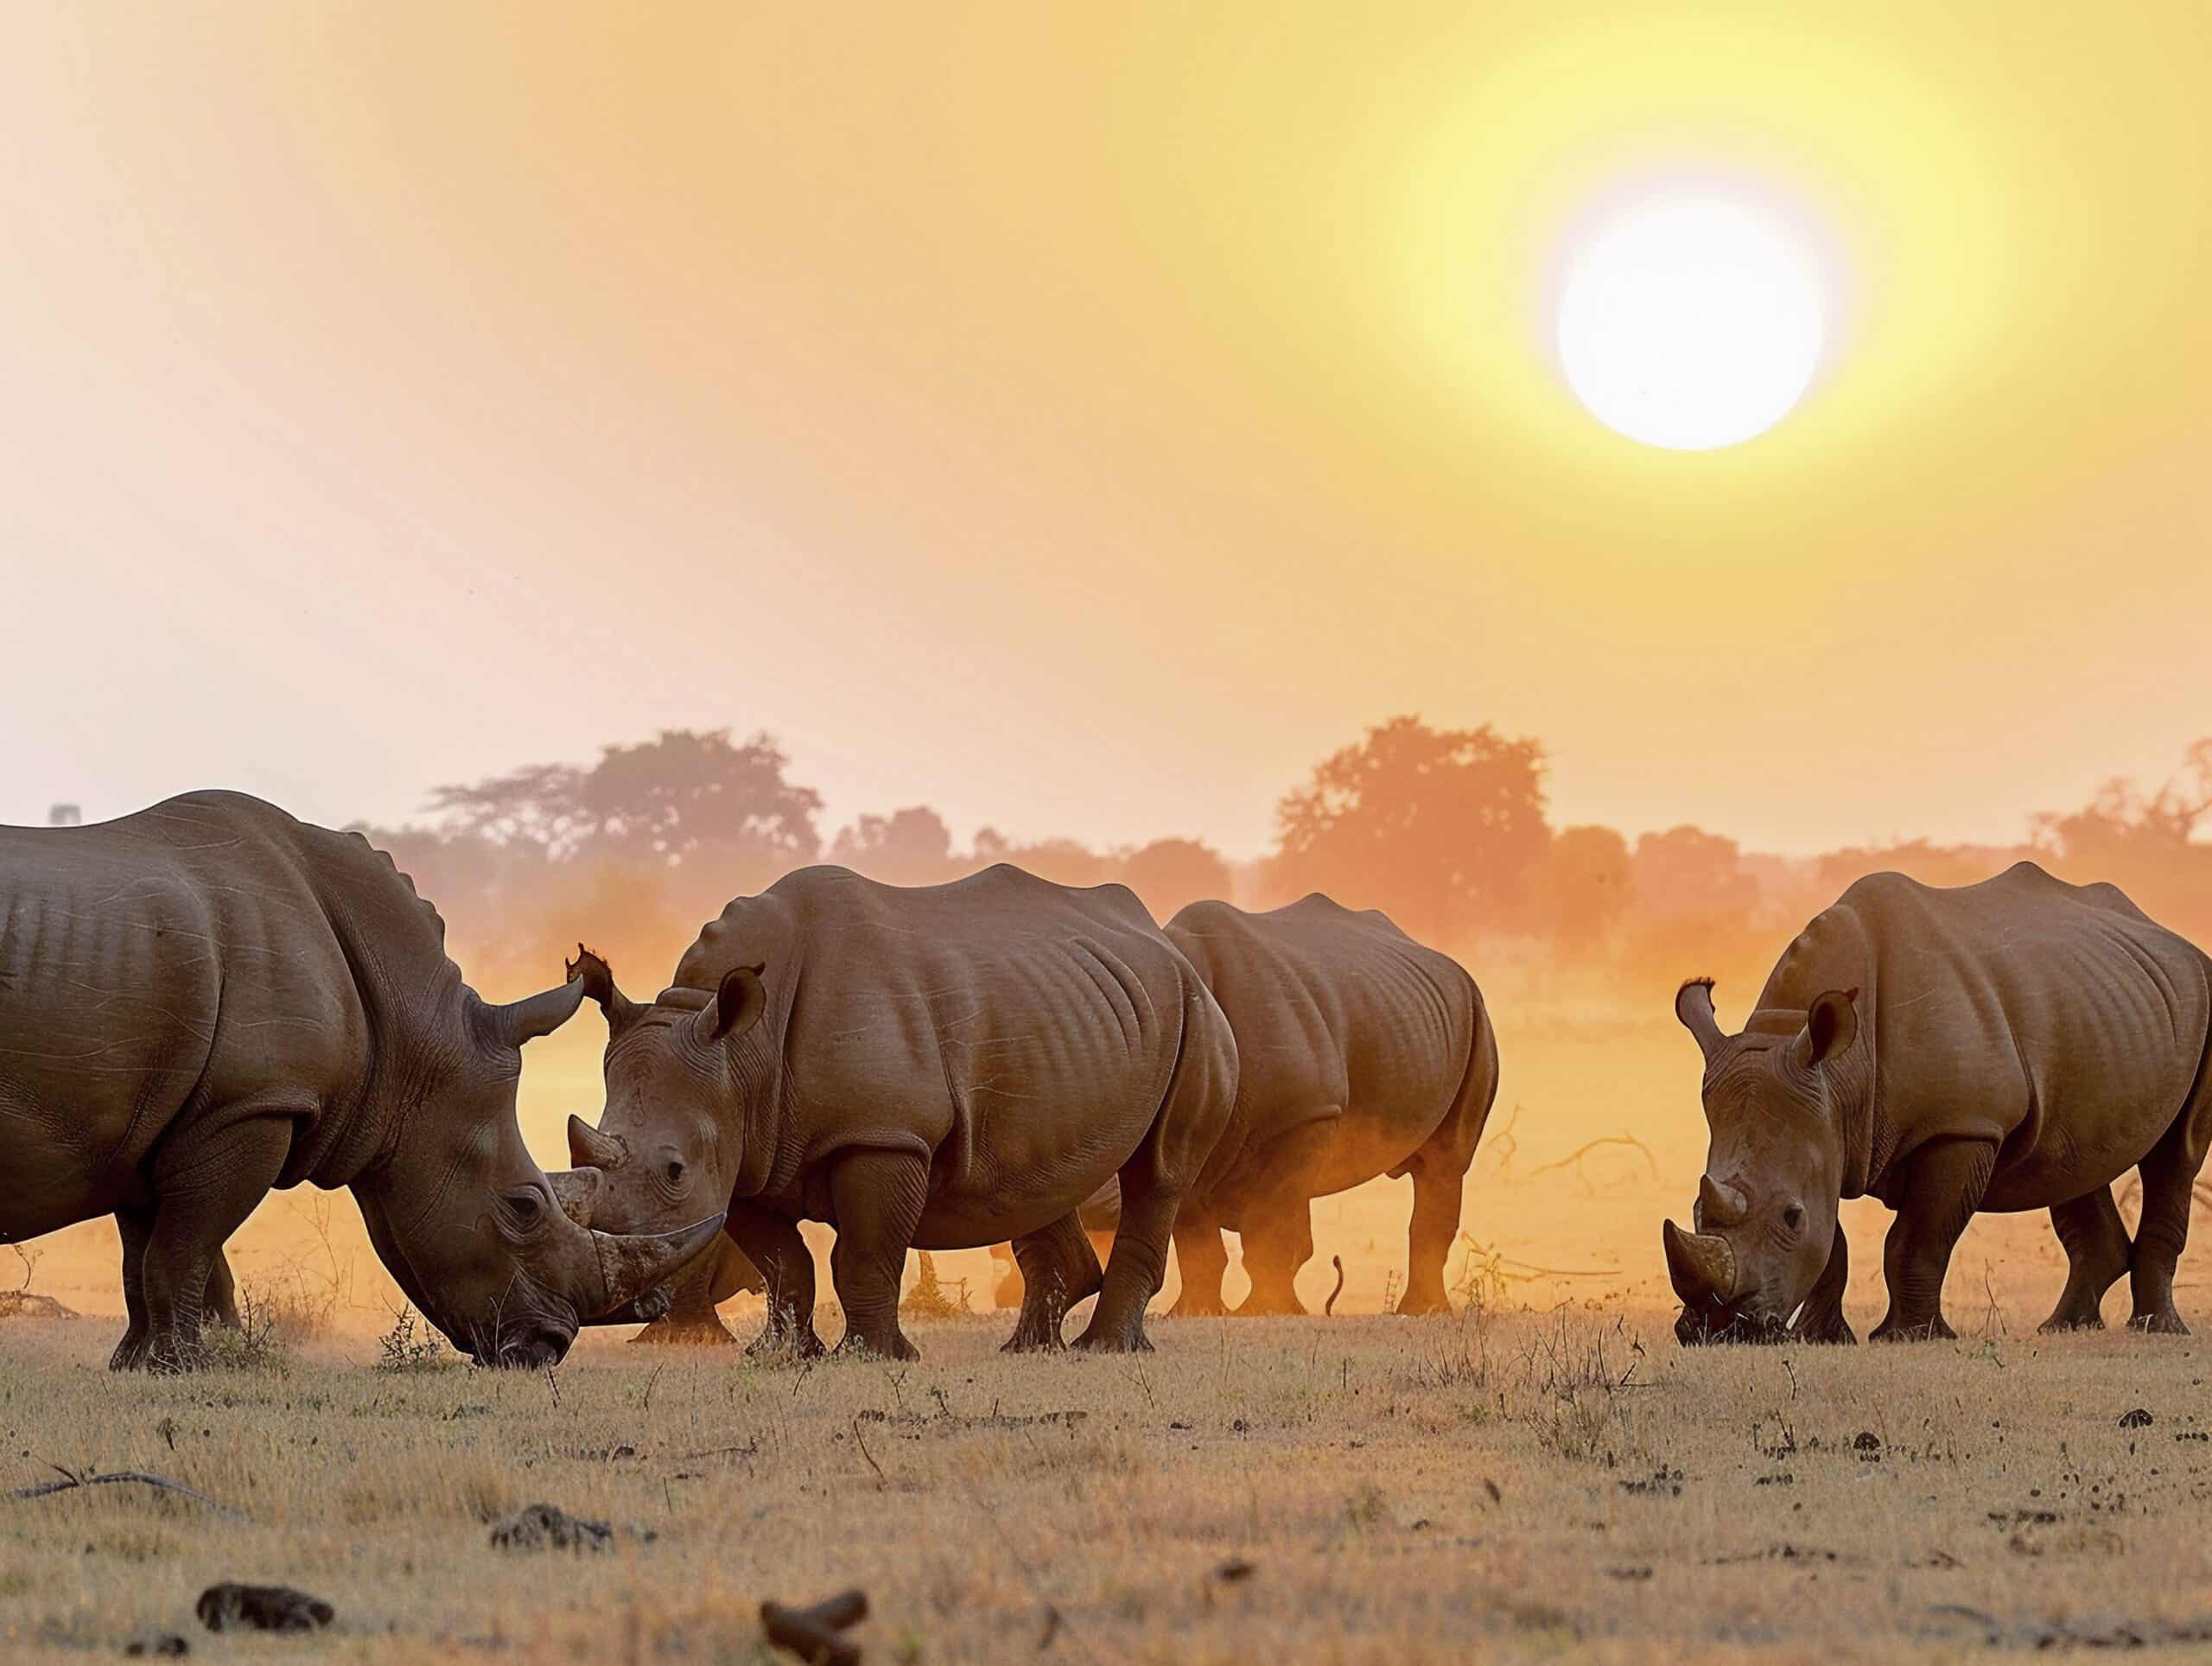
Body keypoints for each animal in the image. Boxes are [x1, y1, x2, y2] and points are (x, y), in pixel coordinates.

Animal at [0, 792, 724, 1371]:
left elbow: (150, 1250)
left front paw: (136, 1363)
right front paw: (178, 1367)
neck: (412, 1043)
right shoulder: (249, 1104)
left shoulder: (159, 1115)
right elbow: (185, 1247)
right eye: (524, 1207)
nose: (549, 1347)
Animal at [556, 862, 1238, 1358]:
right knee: (1041, 1176)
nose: (612, 1310)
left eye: (674, 1171)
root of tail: (1163, 941)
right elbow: (783, 1262)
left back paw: (1106, 1350)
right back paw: (1028, 1351)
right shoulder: (745, 1152)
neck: (743, 1051)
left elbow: (862, 1252)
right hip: (1070, 1010)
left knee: (1160, 1173)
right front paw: (781, 1357)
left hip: (1196, 1011)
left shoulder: (883, 1134)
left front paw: (873, 1358)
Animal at [1154, 895, 1500, 1316]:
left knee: (1444, 1164)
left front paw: (1267, 1310)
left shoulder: (1305, 1117)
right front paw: (1194, 1312)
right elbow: (1197, 1237)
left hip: (1475, 1015)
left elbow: (1270, 1227)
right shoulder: (1181, 1130)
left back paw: (1423, 1311)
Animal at [1668, 862, 2212, 1344]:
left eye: (1790, 1216)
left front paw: (1908, 1337)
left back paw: (2156, 1330)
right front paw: (1819, 1338)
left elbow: (1916, 1238)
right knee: (2073, 1160)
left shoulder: (1961, 1125)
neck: (1841, 1073)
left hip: (2200, 994)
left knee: (2175, 1156)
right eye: (1695, 1210)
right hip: (2099, 1005)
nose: (1720, 1330)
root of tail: (2176, 940)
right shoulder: (1825, 1130)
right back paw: (2063, 1328)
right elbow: (1832, 1244)